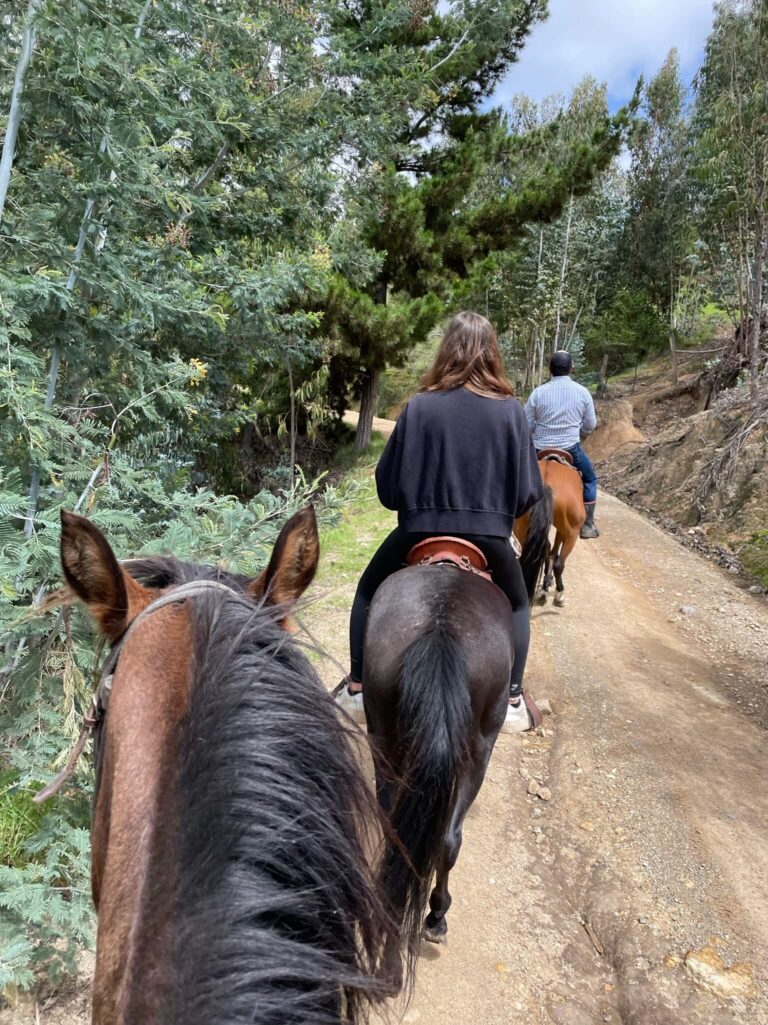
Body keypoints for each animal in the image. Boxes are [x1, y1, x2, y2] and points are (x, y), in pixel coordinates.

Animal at [360, 490, 552, 965]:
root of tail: (440, 624)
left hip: (384, 731)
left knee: (398, 826)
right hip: (479, 745)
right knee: (449, 839)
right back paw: (435, 917)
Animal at [514, 454, 585, 608]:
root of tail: (545, 484)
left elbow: (550, 549)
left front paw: (546, 585)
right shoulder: (566, 530)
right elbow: (554, 552)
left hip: (521, 527)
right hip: (572, 533)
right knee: (559, 564)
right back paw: (559, 595)